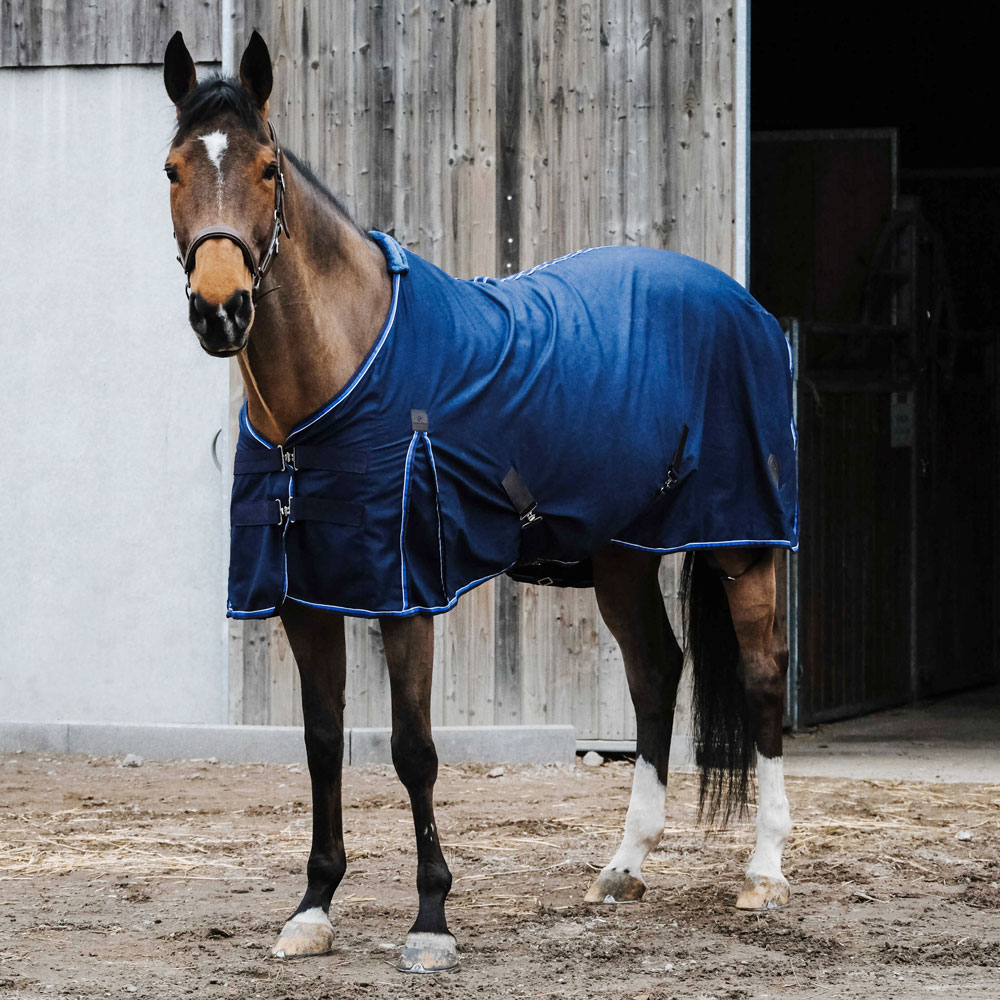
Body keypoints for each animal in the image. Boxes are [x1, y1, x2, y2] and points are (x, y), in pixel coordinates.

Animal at [162, 30, 796, 973]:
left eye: (268, 169)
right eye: (172, 169)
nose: (220, 310)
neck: (333, 391)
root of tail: (740, 300)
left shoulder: (407, 592)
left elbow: (413, 749)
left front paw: (431, 921)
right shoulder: (305, 593)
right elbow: (321, 747)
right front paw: (312, 908)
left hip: (741, 542)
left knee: (761, 679)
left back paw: (763, 873)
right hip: (621, 555)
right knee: (655, 674)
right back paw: (623, 867)